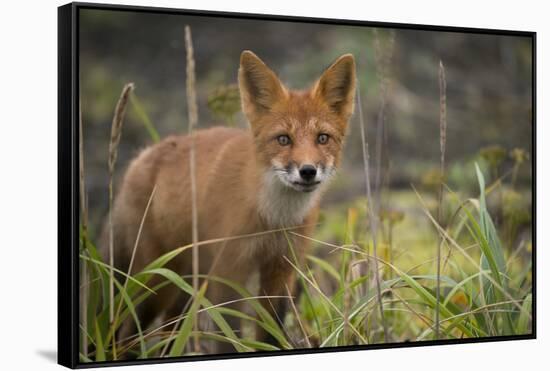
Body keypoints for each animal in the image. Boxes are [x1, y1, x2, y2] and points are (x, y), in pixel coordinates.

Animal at [103, 50, 358, 354]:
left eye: (322, 138)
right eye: (283, 139)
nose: (307, 171)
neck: (272, 219)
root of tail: (140, 158)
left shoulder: (281, 270)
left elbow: (269, 333)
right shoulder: (229, 271)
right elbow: (228, 335)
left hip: (185, 287)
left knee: (166, 334)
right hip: (157, 281)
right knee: (127, 333)